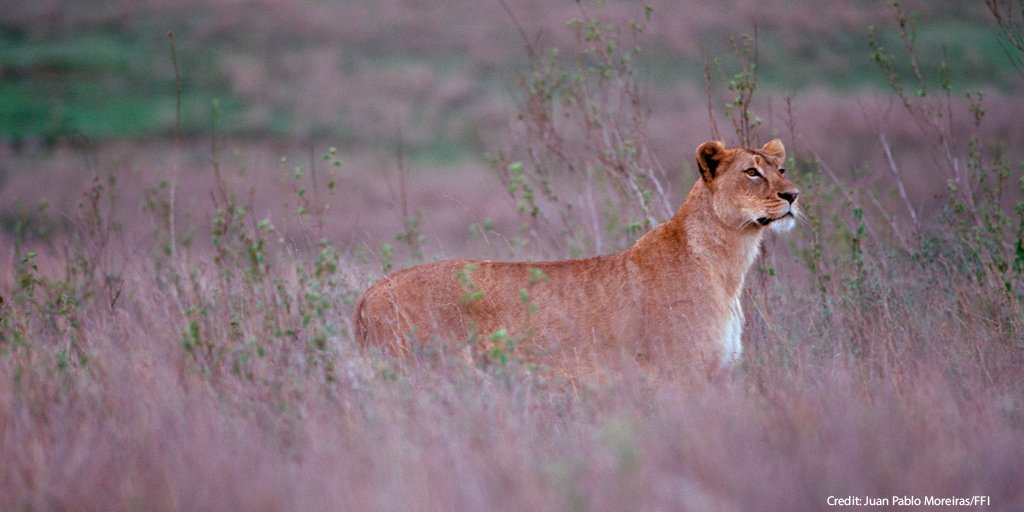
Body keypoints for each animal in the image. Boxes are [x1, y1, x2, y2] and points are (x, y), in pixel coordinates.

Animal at [353, 139, 799, 375]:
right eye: (752, 172)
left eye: (780, 168)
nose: (793, 194)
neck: (728, 264)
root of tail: (370, 291)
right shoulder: (678, 372)